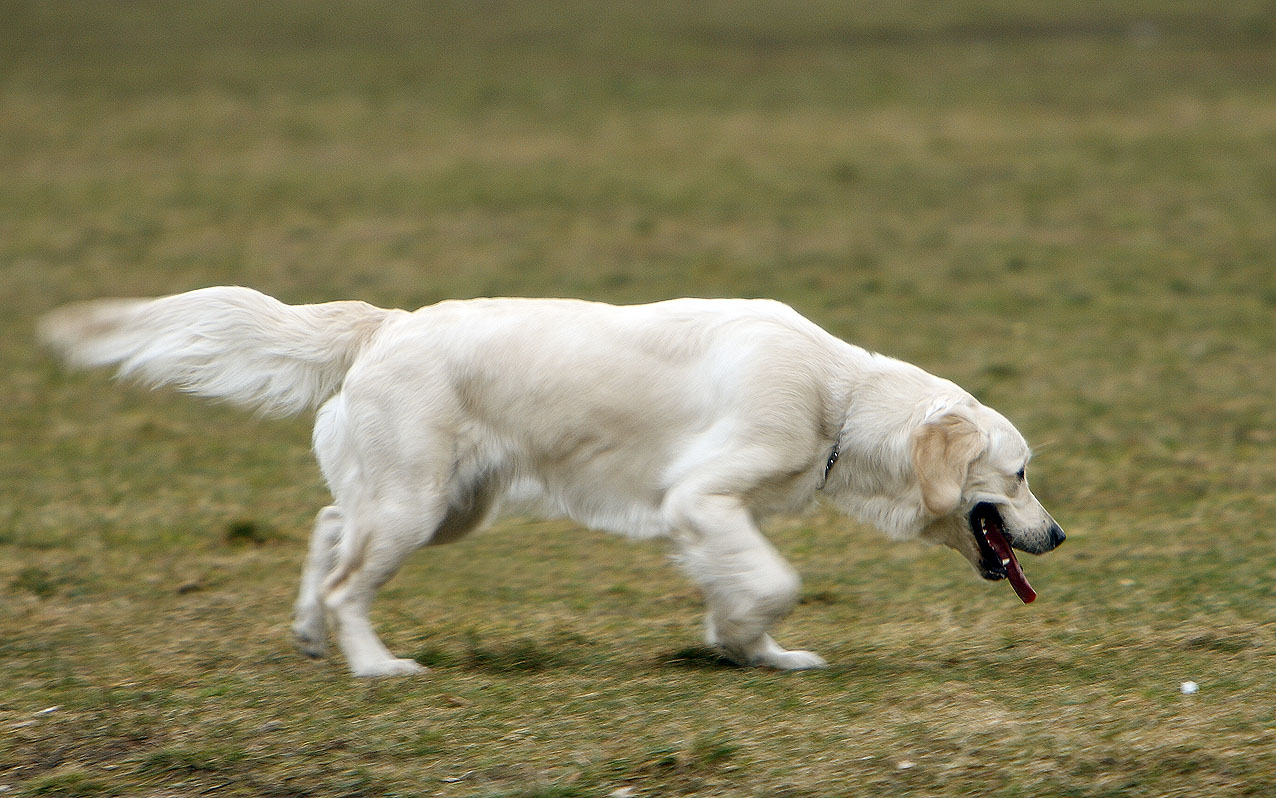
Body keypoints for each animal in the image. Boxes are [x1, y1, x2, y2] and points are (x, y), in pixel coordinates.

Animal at [39, 286, 1061, 674]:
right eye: (1017, 474)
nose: (1056, 536)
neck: (837, 395)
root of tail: (385, 324)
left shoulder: (712, 514)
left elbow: (742, 589)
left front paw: (750, 651)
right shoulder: (701, 496)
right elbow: (775, 580)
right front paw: (751, 642)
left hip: (441, 505)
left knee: (330, 525)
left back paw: (306, 634)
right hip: (417, 506)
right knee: (346, 578)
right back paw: (374, 664)